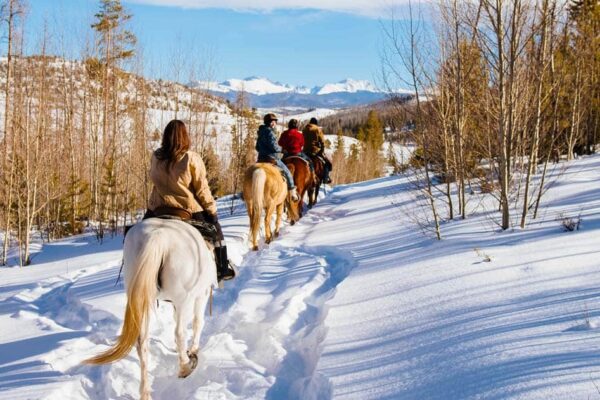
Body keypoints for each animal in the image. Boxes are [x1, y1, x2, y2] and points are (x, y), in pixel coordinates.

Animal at [83, 219, 217, 400]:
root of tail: (158, 235)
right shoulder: (201, 295)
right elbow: (198, 322)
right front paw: (193, 350)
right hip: (183, 299)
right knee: (180, 332)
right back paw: (185, 367)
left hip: (142, 298)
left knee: (142, 342)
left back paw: (145, 392)